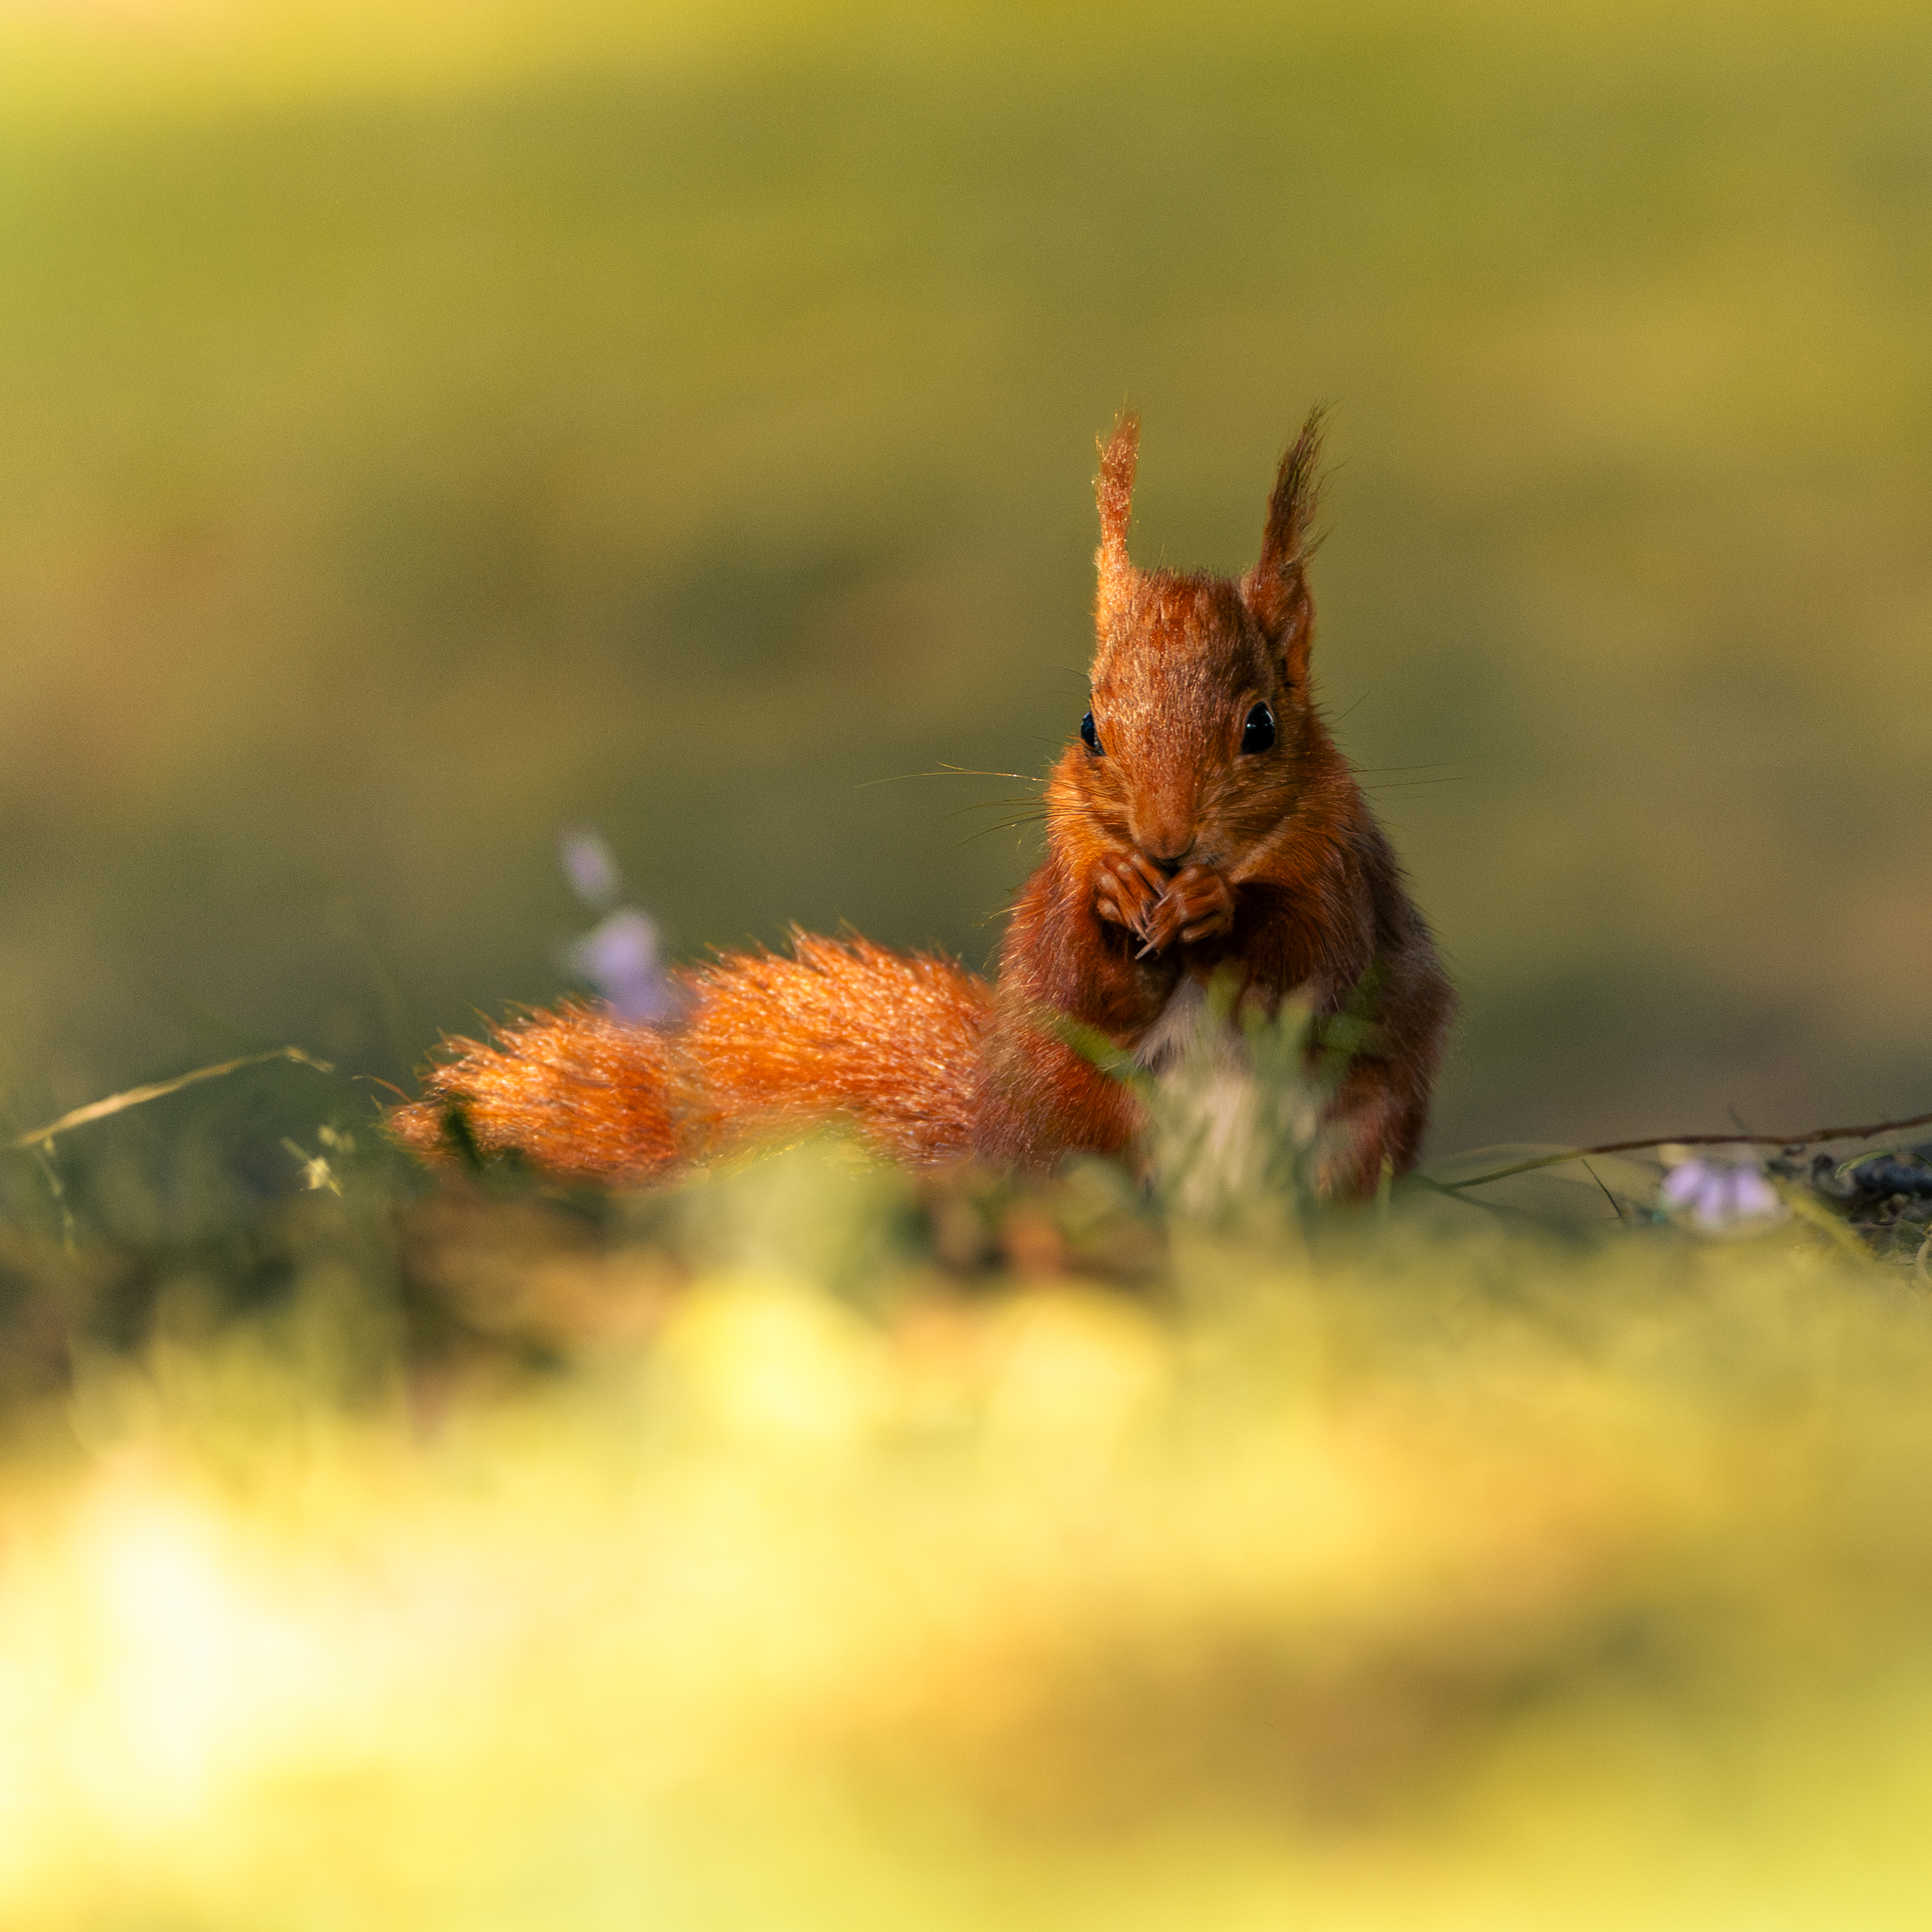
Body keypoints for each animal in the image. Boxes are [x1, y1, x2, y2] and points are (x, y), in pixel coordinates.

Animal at [388, 410, 1454, 1198]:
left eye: (1262, 727)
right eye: (1089, 727)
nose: (1164, 844)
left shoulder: (1342, 875)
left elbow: (1312, 967)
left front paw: (1216, 904)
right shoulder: (1060, 881)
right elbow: (1079, 983)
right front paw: (1114, 895)